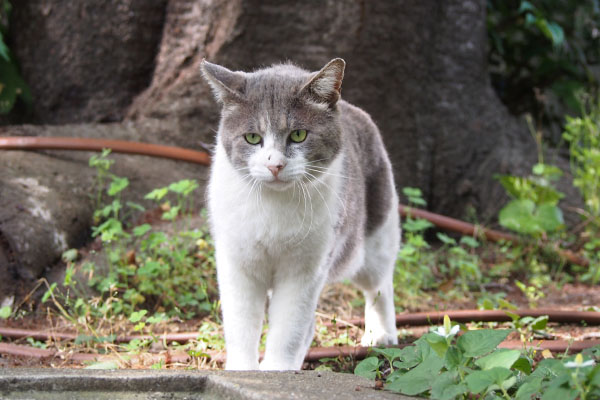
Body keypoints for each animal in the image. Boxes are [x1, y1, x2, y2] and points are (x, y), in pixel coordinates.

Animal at [199, 57, 400, 370]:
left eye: (298, 135)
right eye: (252, 137)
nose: (275, 165)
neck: (274, 207)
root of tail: (355, 111)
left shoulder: (305, 269)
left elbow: (288, 329)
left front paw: (277, 372)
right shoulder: (237, 263)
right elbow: (241, 326)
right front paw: (243, 371)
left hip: (374, 240)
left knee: (380, 285)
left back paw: (382, 335)